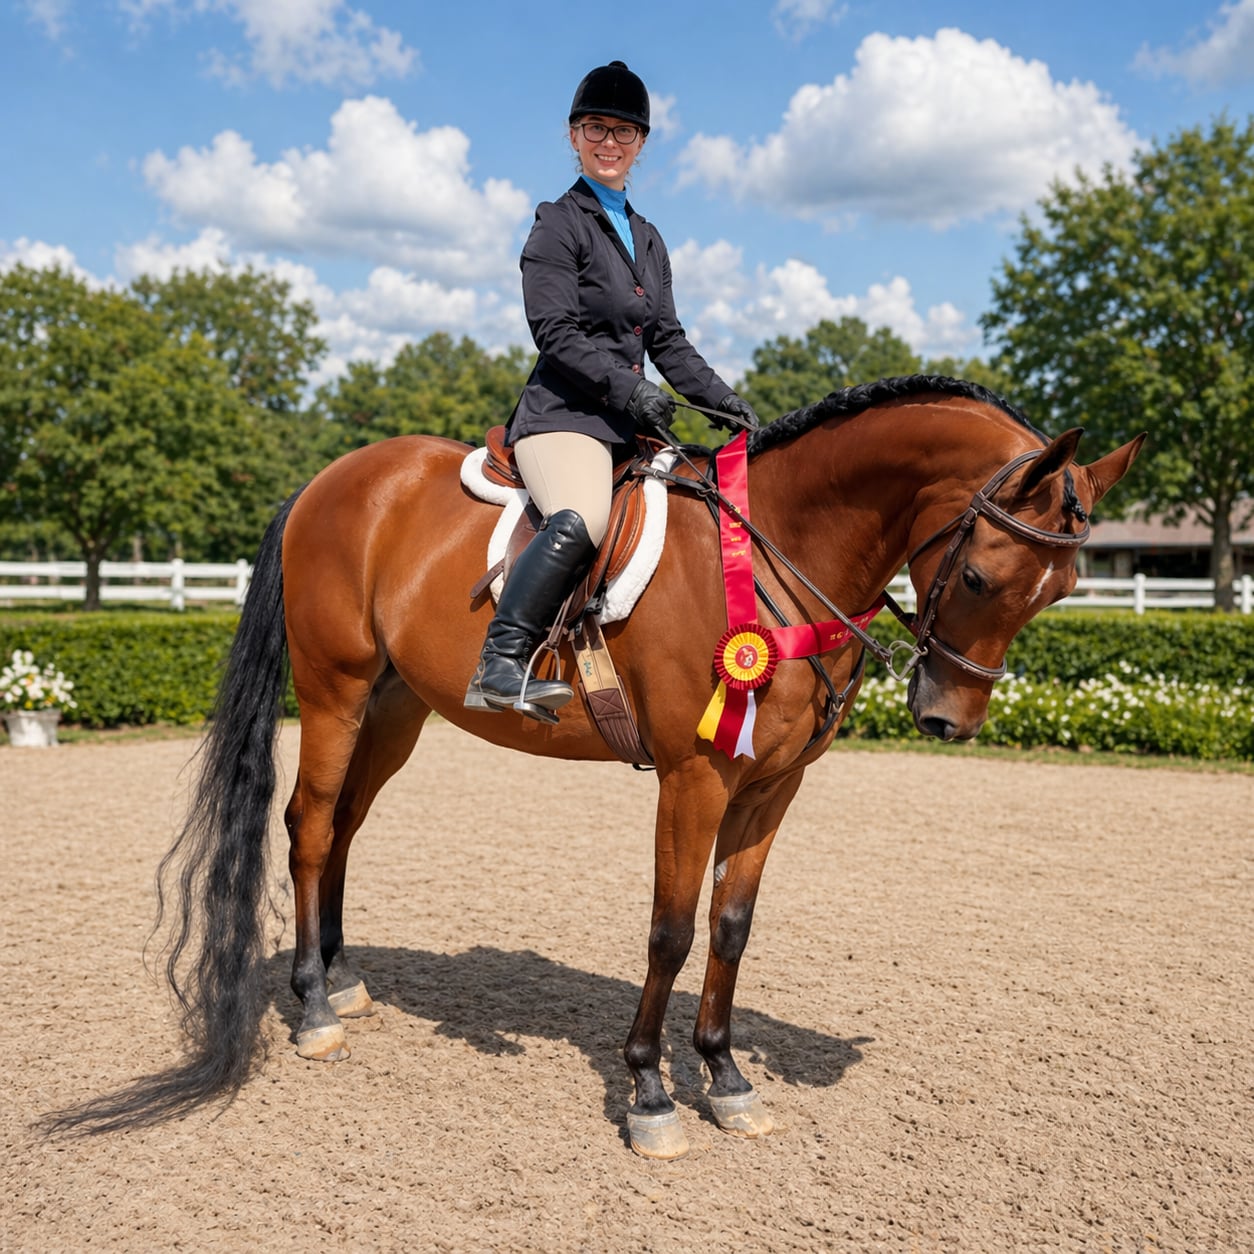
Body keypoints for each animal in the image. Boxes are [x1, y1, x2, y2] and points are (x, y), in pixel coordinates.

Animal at [46, 375, 1142, 1158]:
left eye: (1060, 591)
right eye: (983, 575)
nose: (948, 720)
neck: (775, 551)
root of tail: (329, 479)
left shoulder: (772, 786)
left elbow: (732, 929)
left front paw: (727, 1080)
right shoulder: (695, 779)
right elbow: (670, 931)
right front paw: (653, 1092)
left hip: (397, 709)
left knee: (347, 825)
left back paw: (347, 978)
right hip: (335, 690)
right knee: (311, 825)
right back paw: (314, 1006)